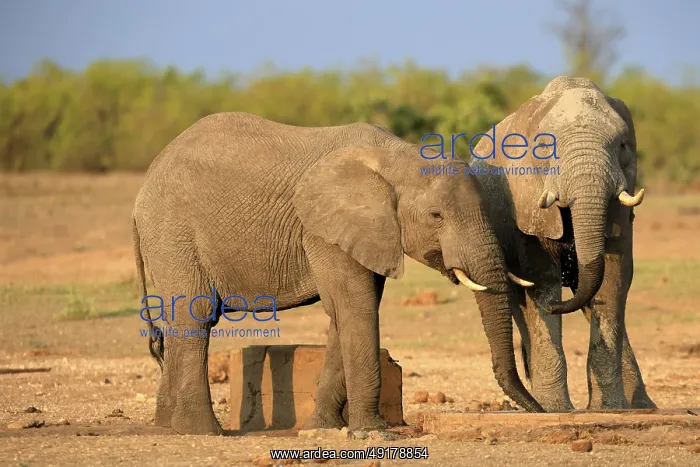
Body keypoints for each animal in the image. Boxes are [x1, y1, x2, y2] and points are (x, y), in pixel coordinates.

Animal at [132, 112, 544, 435]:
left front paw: (324, 428)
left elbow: (344, 313)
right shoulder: (322, 228)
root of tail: (141, 193)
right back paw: (202, 431)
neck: (394, 156)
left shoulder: (368, 233)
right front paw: (373, 433)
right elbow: (356, 307)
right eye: (436, 216)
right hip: (173, 231)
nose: (542, 410)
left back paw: (167, 425)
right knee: (196, 315)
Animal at [466, 76, 656, 411]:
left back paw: (644, 407)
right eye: (544, 148)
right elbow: (541, 280)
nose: (556, 307)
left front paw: (609, 410)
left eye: (623, 145)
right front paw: (555, 410)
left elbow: (614, 276)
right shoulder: (524, 201)